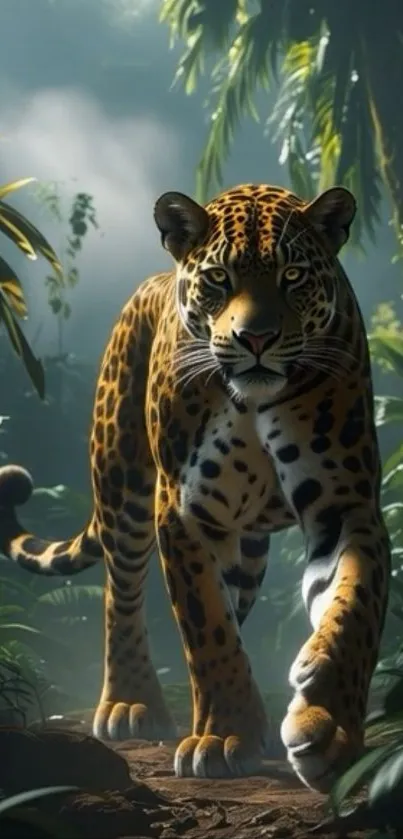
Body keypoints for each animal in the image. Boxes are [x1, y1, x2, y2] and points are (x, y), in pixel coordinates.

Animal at [0, 182, 391, 793]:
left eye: (293, 276)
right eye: (219, 279)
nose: (255, 338)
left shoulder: (344, 503)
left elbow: (353, 610)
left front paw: (328, 728)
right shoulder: (184, 512)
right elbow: (206, 627)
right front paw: (224, 737)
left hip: (246, 552)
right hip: (123, 487)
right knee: (120, 591)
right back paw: (130, 705)